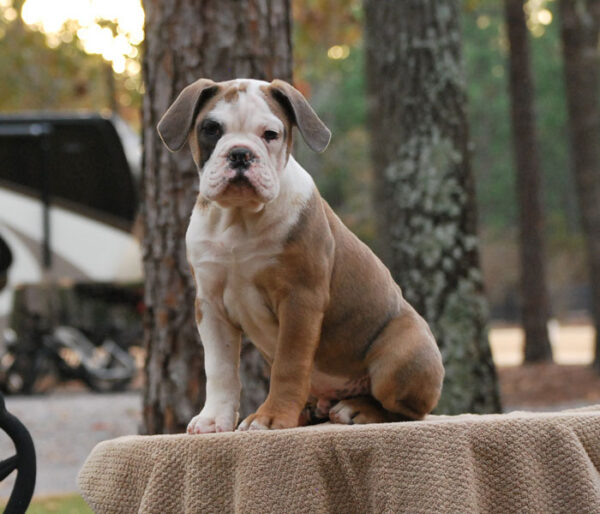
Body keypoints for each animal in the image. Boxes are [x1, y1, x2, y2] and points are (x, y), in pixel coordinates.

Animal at [157, 78, 442, 430]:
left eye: (270, 134)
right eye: (211, 129)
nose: (240, 153)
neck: (239, 218)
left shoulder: (299, 299)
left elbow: (289, 365)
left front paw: (271, 417)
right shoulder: (210, 306)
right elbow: (220, 369)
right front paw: (213, 419)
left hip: (401, 357)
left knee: (407, 410)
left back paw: (357, 409)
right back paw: (310, 411)